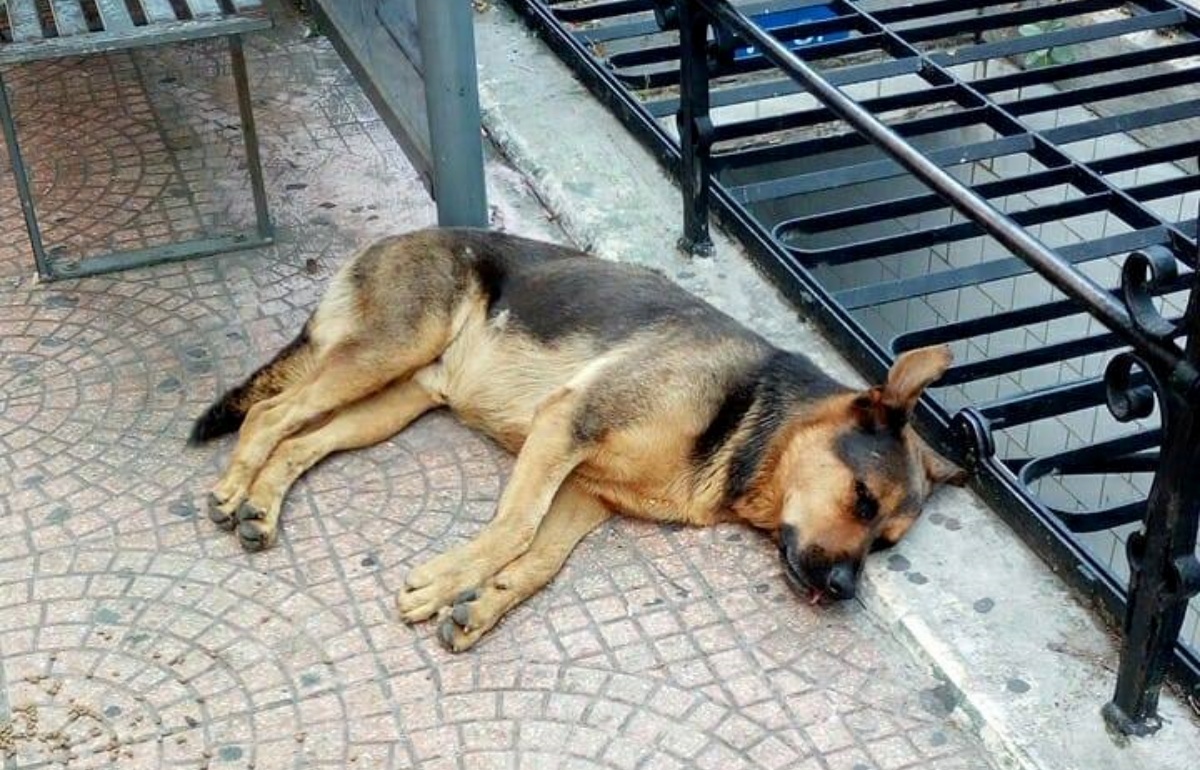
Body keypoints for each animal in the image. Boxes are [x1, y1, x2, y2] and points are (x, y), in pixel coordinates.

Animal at [194, 227, 964, 647]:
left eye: (886, 544)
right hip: (386, 351)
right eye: (862, 500)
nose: (844, 591)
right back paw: (234, 488)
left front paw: (482, 604)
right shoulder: (564, 427)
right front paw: (449, 579)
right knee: (271, 414)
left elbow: (540, 560)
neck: (742, 418)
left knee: (303, 439)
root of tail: (386, 242)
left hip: (394, 400)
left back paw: (261, 506)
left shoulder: (589, 492)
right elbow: (513, 528)